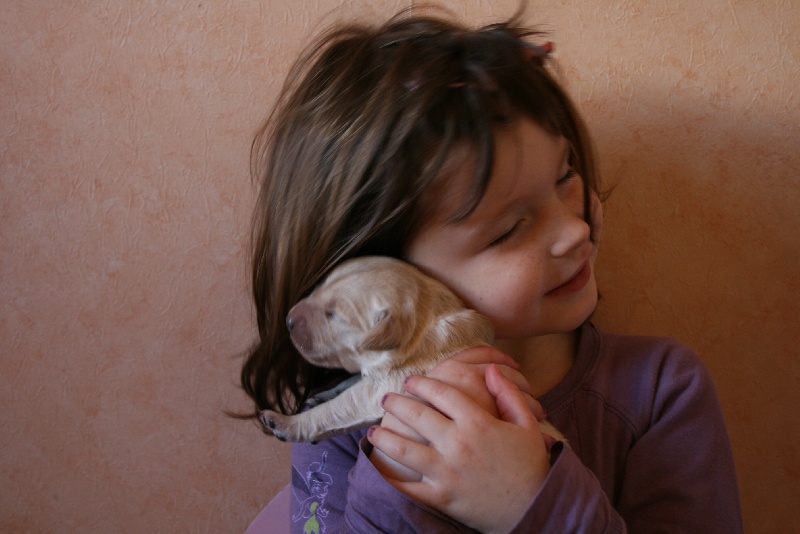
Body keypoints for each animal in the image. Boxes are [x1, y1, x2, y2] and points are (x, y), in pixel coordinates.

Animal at [260, 256, 566, 444]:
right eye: (320, 285)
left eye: (332, 315)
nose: (288, 320)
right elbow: (350, 383)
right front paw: (322, 393)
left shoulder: (387, 387)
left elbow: (338, 407)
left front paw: (286, 423)